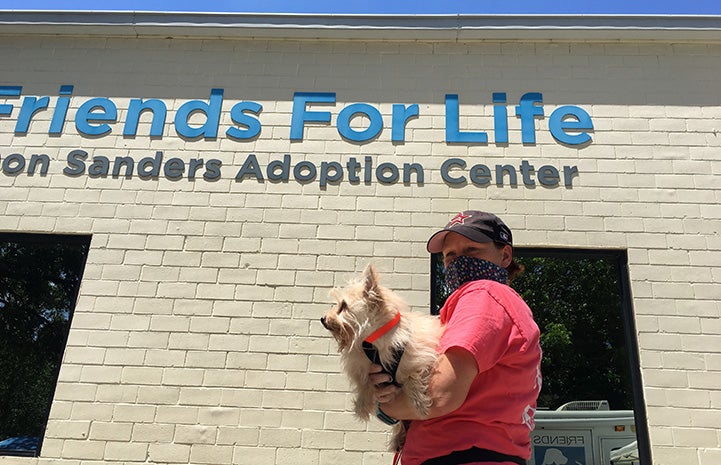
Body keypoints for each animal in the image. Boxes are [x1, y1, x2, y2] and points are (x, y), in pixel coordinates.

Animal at [320, 262, 442, 448]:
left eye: (344, 306)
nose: (323, 318)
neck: (373, 342)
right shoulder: (363, 367)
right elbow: (363, 383)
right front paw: (361, 407)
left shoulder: (419, 353)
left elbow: (412, 376)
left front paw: (420, 404)